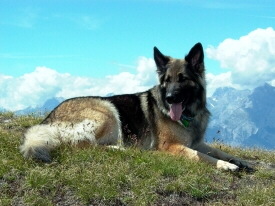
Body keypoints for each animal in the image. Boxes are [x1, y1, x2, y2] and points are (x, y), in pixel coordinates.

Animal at [20, 43, 254, 172]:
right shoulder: (172, 146)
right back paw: (120, 149)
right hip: (106, 110)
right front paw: (225, 165)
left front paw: (241, 160)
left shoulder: (198, 142)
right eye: (166, 81)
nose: (169, 98)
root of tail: (47, 120)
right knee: (83, 145)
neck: (189, 114)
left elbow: (218, 150)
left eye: (182, 79)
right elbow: (204, 157)